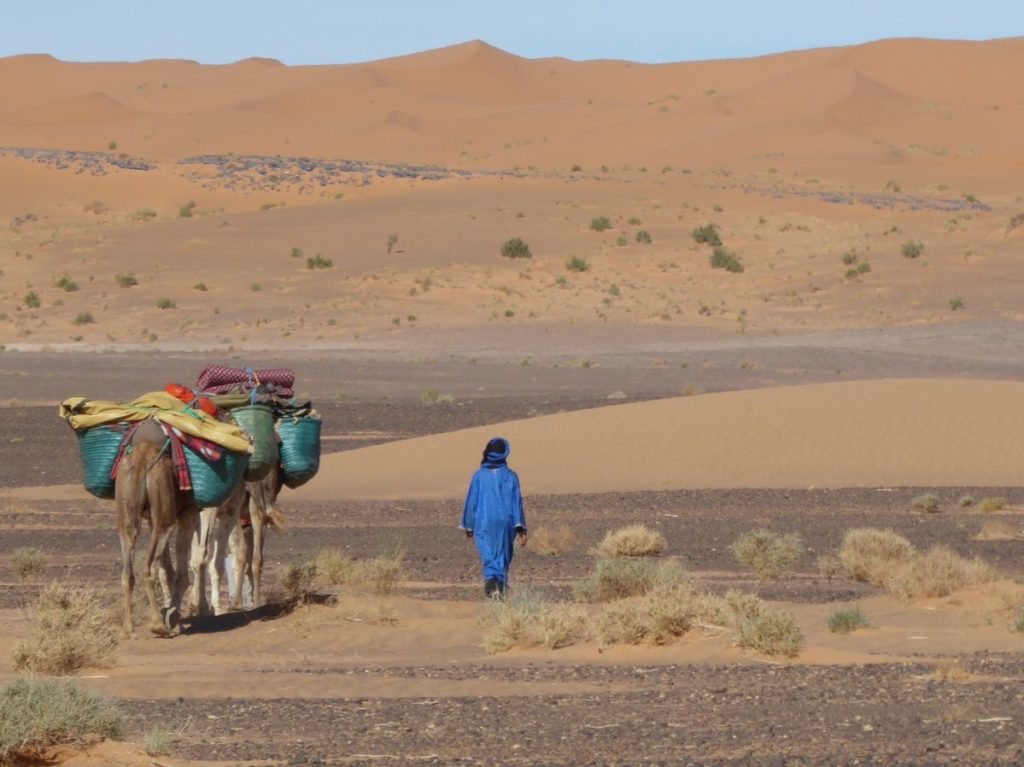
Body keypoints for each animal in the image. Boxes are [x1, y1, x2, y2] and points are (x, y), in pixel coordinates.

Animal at [115, 415, 198, 638]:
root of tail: (143, 457)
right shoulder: (189, 512)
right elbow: (181, 570)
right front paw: (174, 616)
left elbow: (169, 568)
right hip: (164, 514)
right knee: (148, 567)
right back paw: (158, 623)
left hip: (126, 511)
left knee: (127, 571)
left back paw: (128, 628)